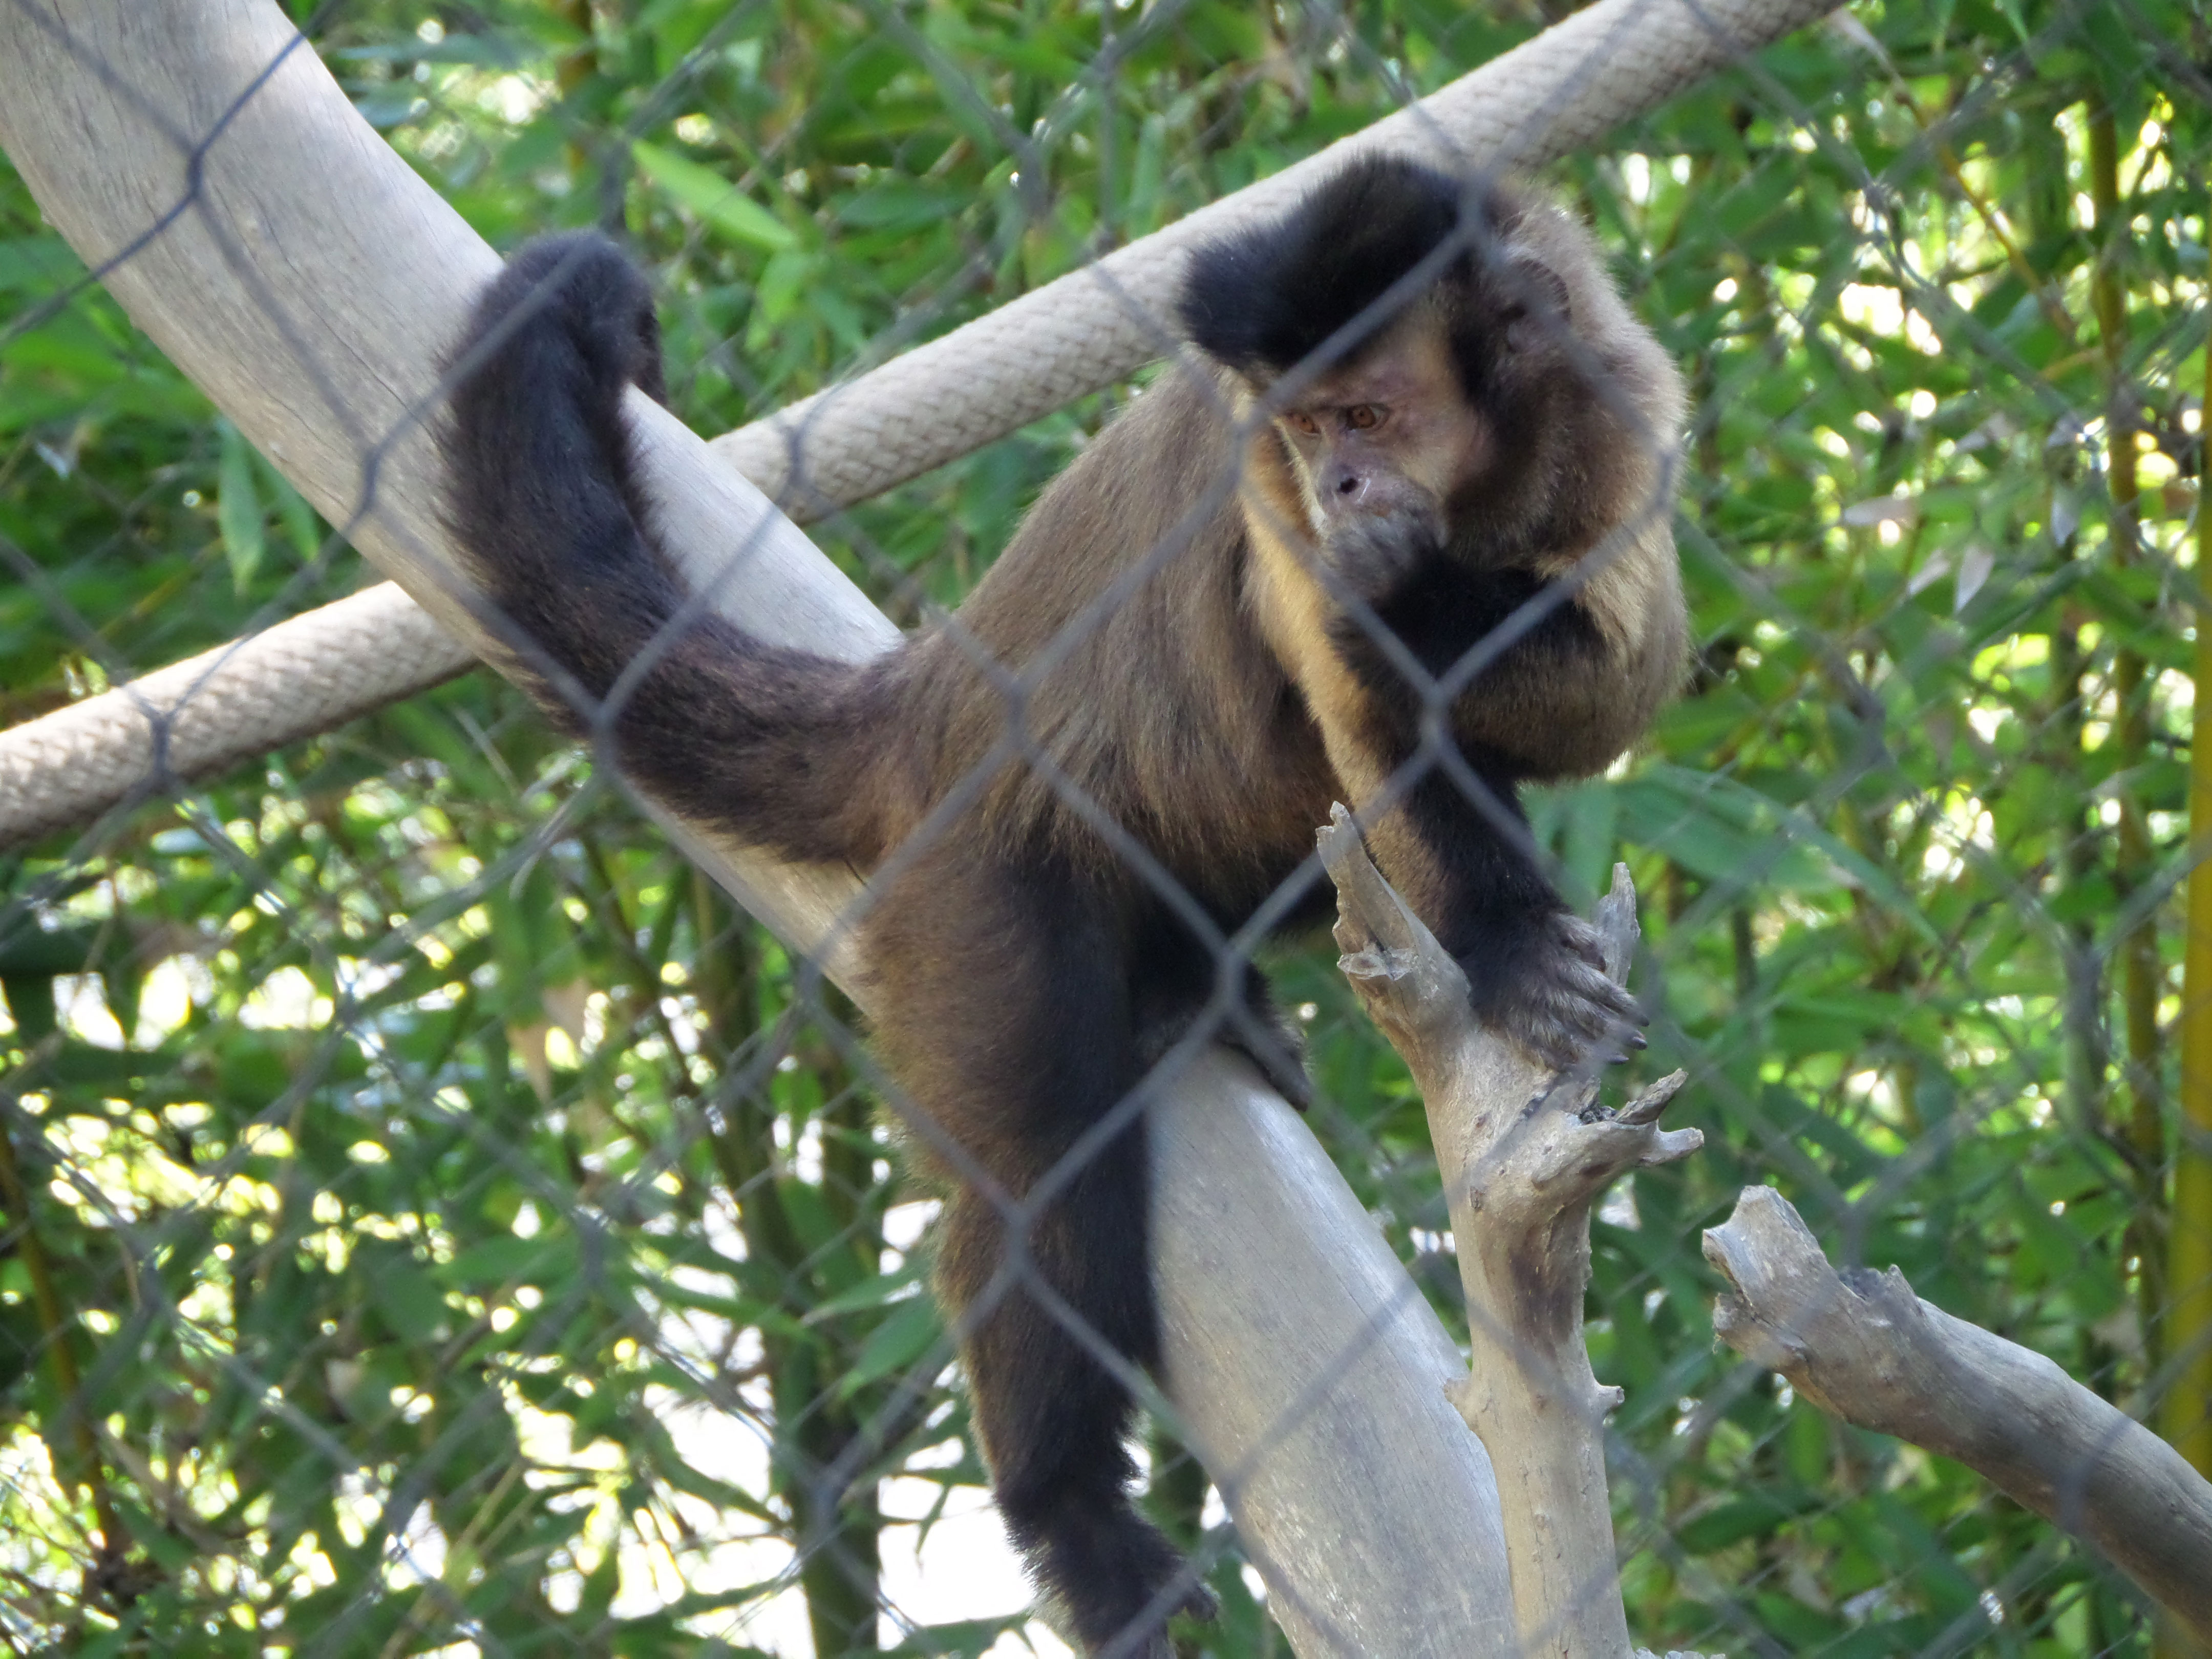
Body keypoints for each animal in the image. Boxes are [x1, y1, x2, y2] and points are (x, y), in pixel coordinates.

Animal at [441, 152, 1685, 1654]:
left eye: (1373, 414)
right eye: (1311, 422)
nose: (1341, 481)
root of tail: (937, 700)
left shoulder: (1627, 413)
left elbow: (1625, 686)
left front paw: (1430, 589)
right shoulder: (1266, 490)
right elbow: (1387, 701)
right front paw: (1503, 945)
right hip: (973, 884)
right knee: (1042, 1155)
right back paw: (1069, 1510)